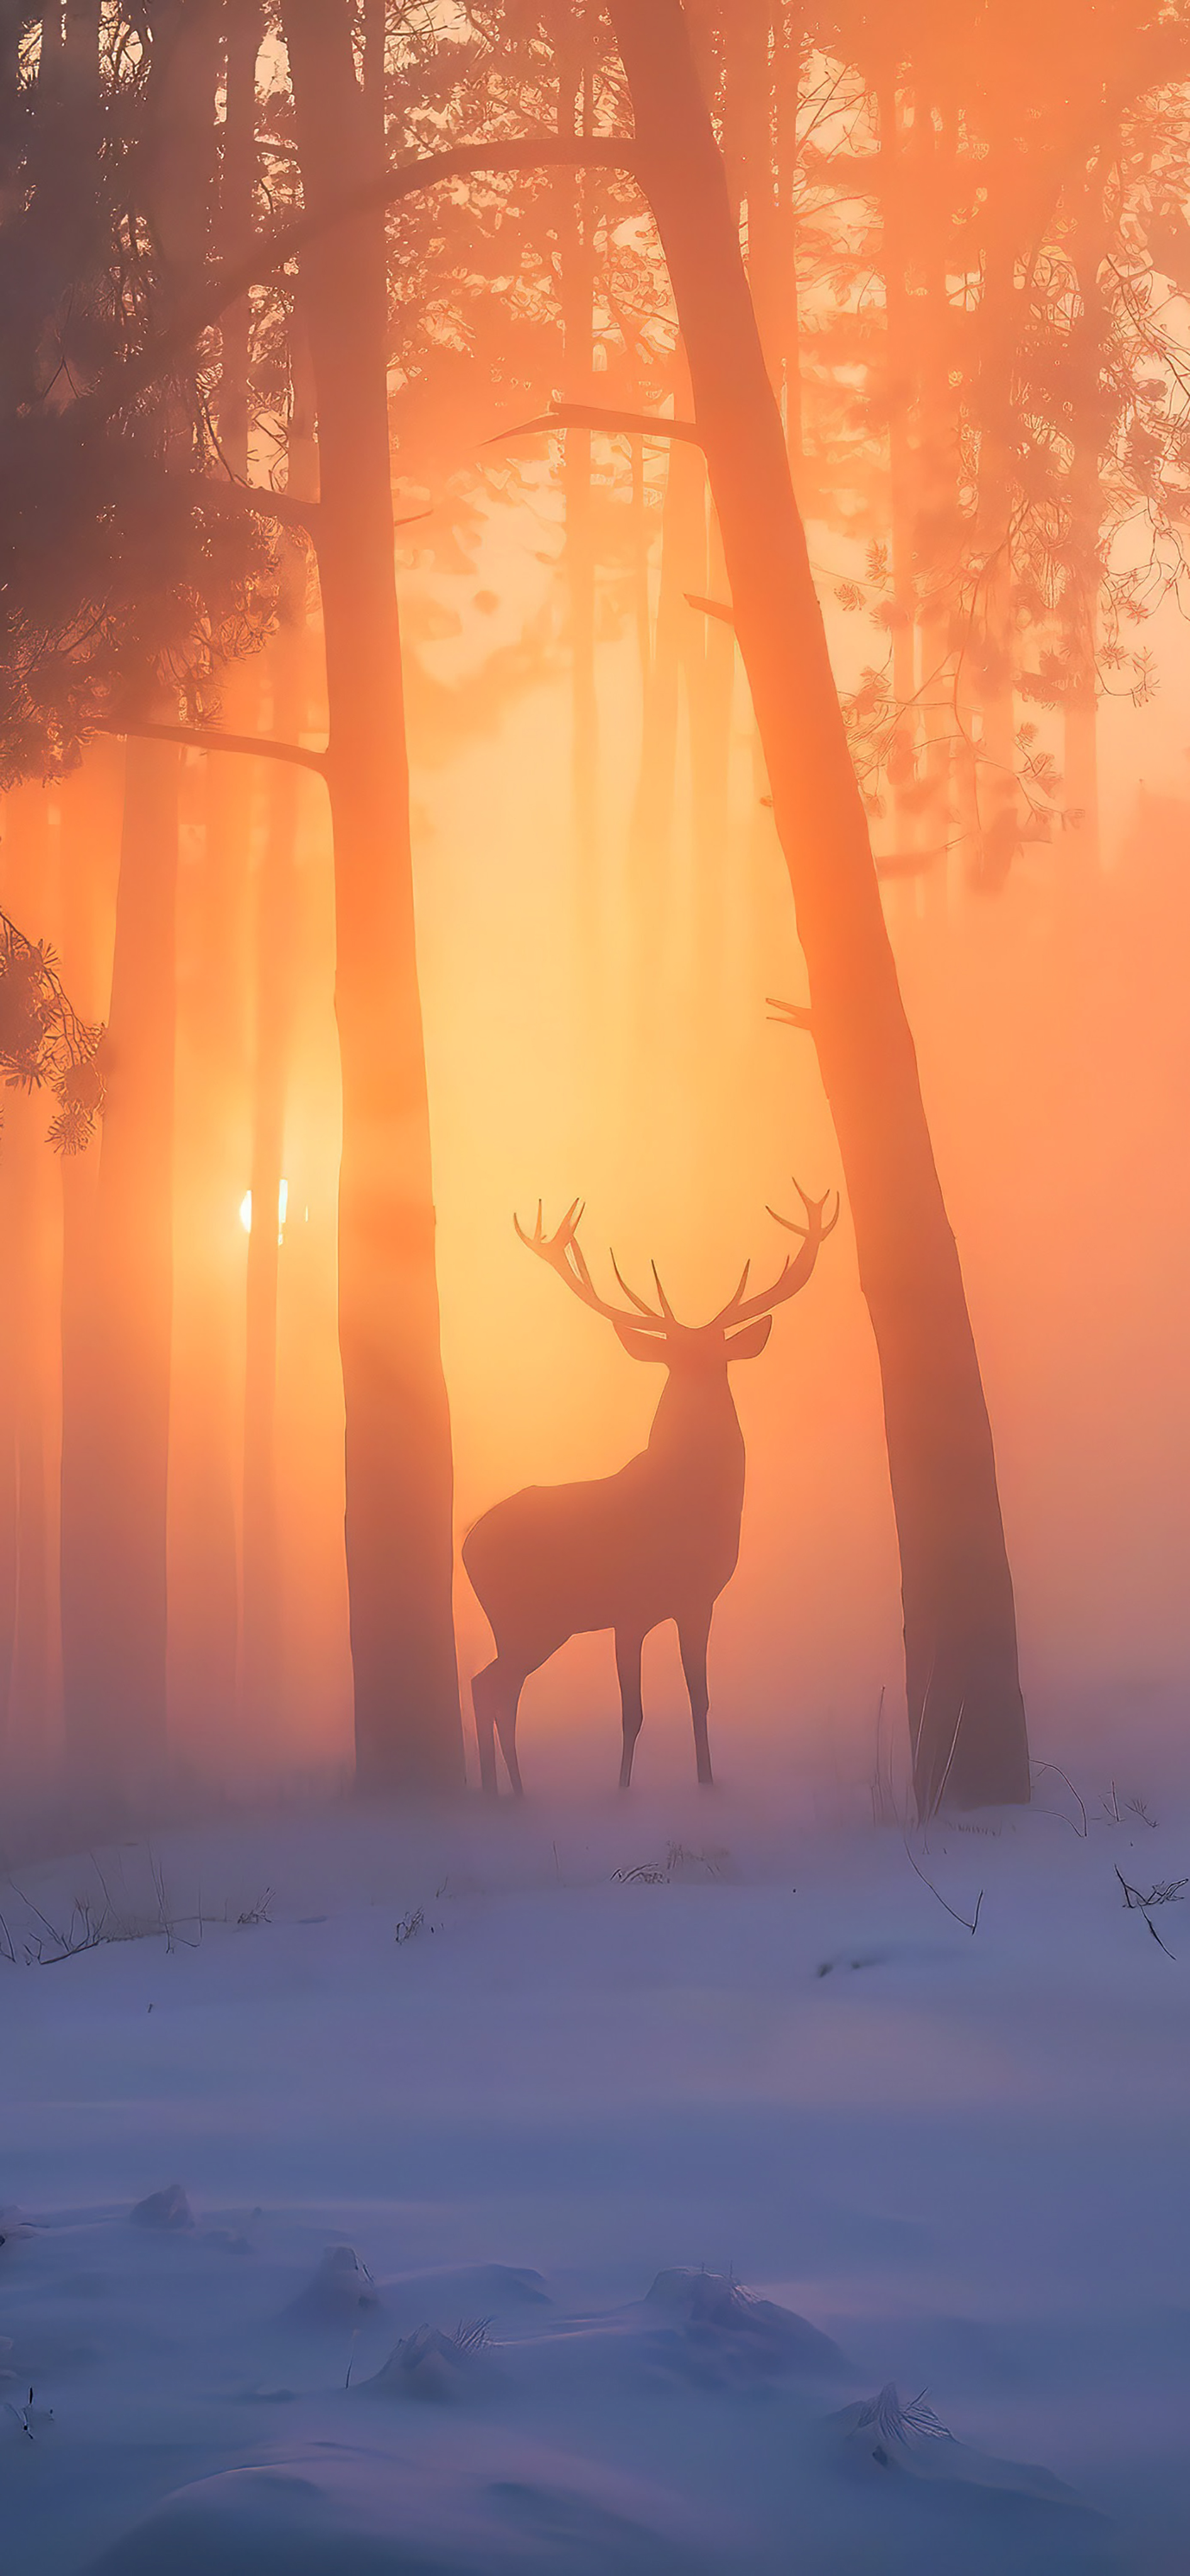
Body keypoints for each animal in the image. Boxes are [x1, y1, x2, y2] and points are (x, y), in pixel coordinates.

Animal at [461, 1179, 840, 1803]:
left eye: (717, 1359)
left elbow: (699, 1700)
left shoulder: (699, 1603)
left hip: (534, 1625)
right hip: (528, 1618)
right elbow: (631, 1712)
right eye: (675, 1362)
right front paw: (621, 1793)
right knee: (488, 1685)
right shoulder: (630, 1610)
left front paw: (707, 1783)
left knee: (494, 1686)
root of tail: (466, 1544)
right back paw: (503, 1793)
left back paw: (505, 1791)